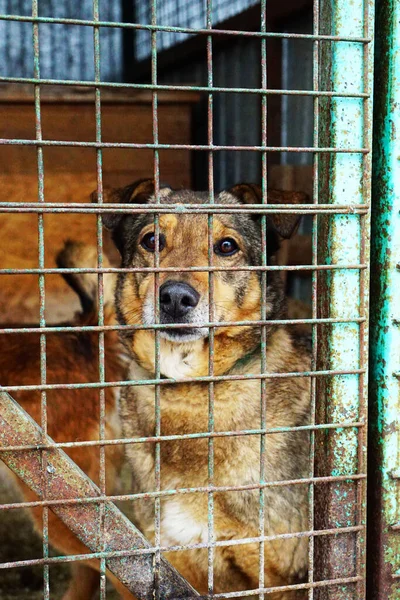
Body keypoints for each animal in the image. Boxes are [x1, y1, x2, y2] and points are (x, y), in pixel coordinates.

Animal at [98, 179, 310, 600]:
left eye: (226, 246)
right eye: (152, 240)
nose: (176, 297)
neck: (192, 390)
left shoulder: (282, 575)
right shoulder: (173, 566)